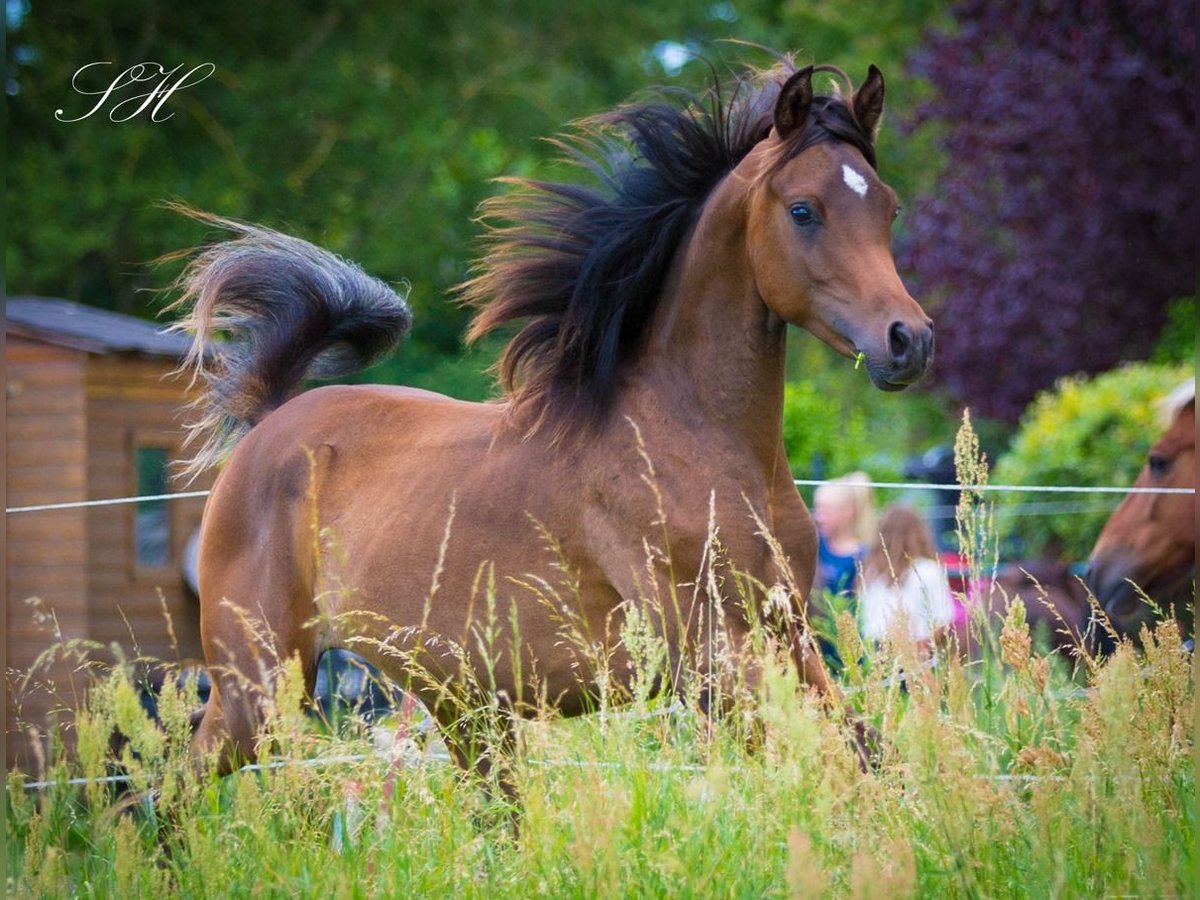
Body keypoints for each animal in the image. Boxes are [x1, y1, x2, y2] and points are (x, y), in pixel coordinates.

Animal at [174, 60, 931, 787]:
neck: (690, 436)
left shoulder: (789, 637)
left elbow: (872, 757)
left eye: (889, 207)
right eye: (803, 210)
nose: (909, 341)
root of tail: (271, 420)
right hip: (259, 686)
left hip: (463, 709)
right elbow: (837, 767)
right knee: (176, 787)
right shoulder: (713, 652)